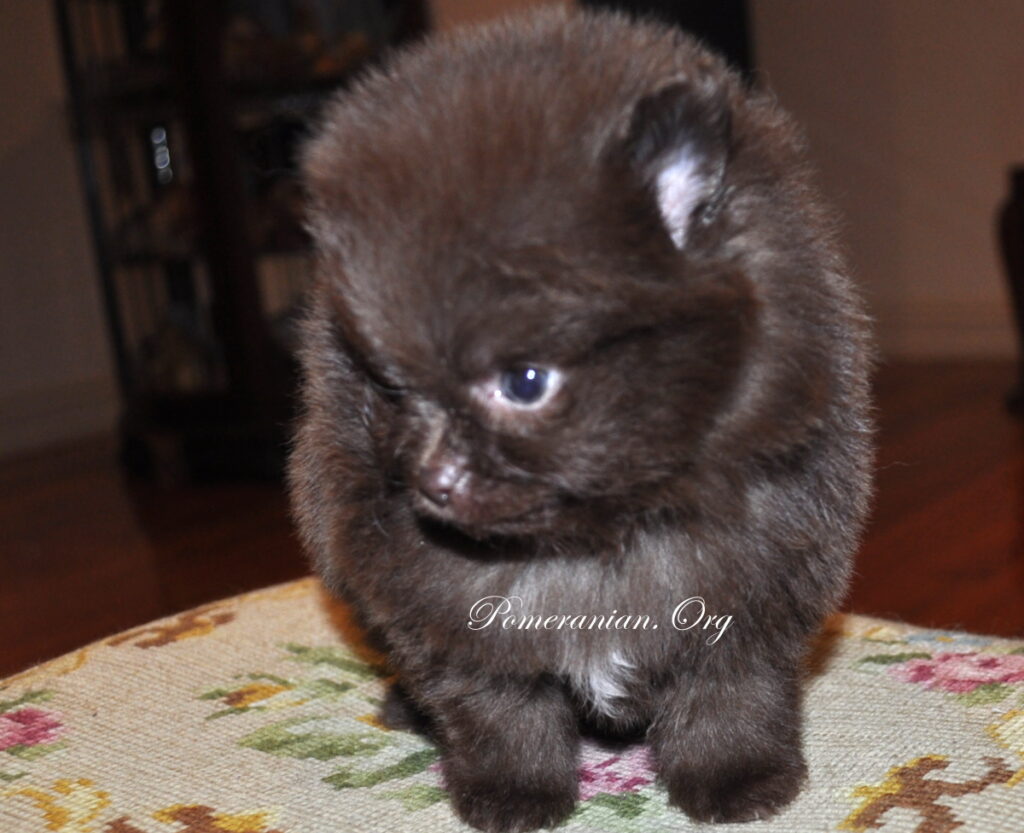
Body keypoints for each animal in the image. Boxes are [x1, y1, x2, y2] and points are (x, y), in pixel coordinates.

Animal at [286, 8, 872, 831]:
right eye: (393, 386)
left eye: (524, 382)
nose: (432, 482)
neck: (594, 543)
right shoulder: (453, 615)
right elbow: (500, 711)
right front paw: (513, 794)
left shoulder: (755, 587)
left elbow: (729, 695)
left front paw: (736, 780)